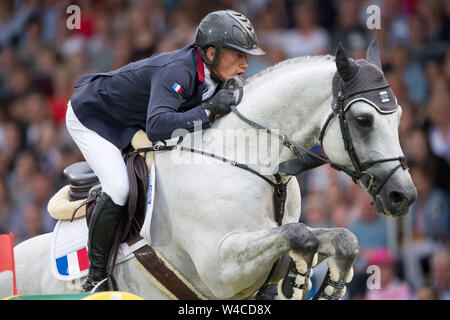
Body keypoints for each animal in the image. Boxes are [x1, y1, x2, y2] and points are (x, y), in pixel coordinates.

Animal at [0, 41, 416, 298]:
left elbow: (339, 237)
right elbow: (299, 236)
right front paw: (298, 278)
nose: (404, 197)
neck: (255, 163)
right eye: (363, 119)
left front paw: (328, 285)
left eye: (398, 118)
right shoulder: (221, 267)